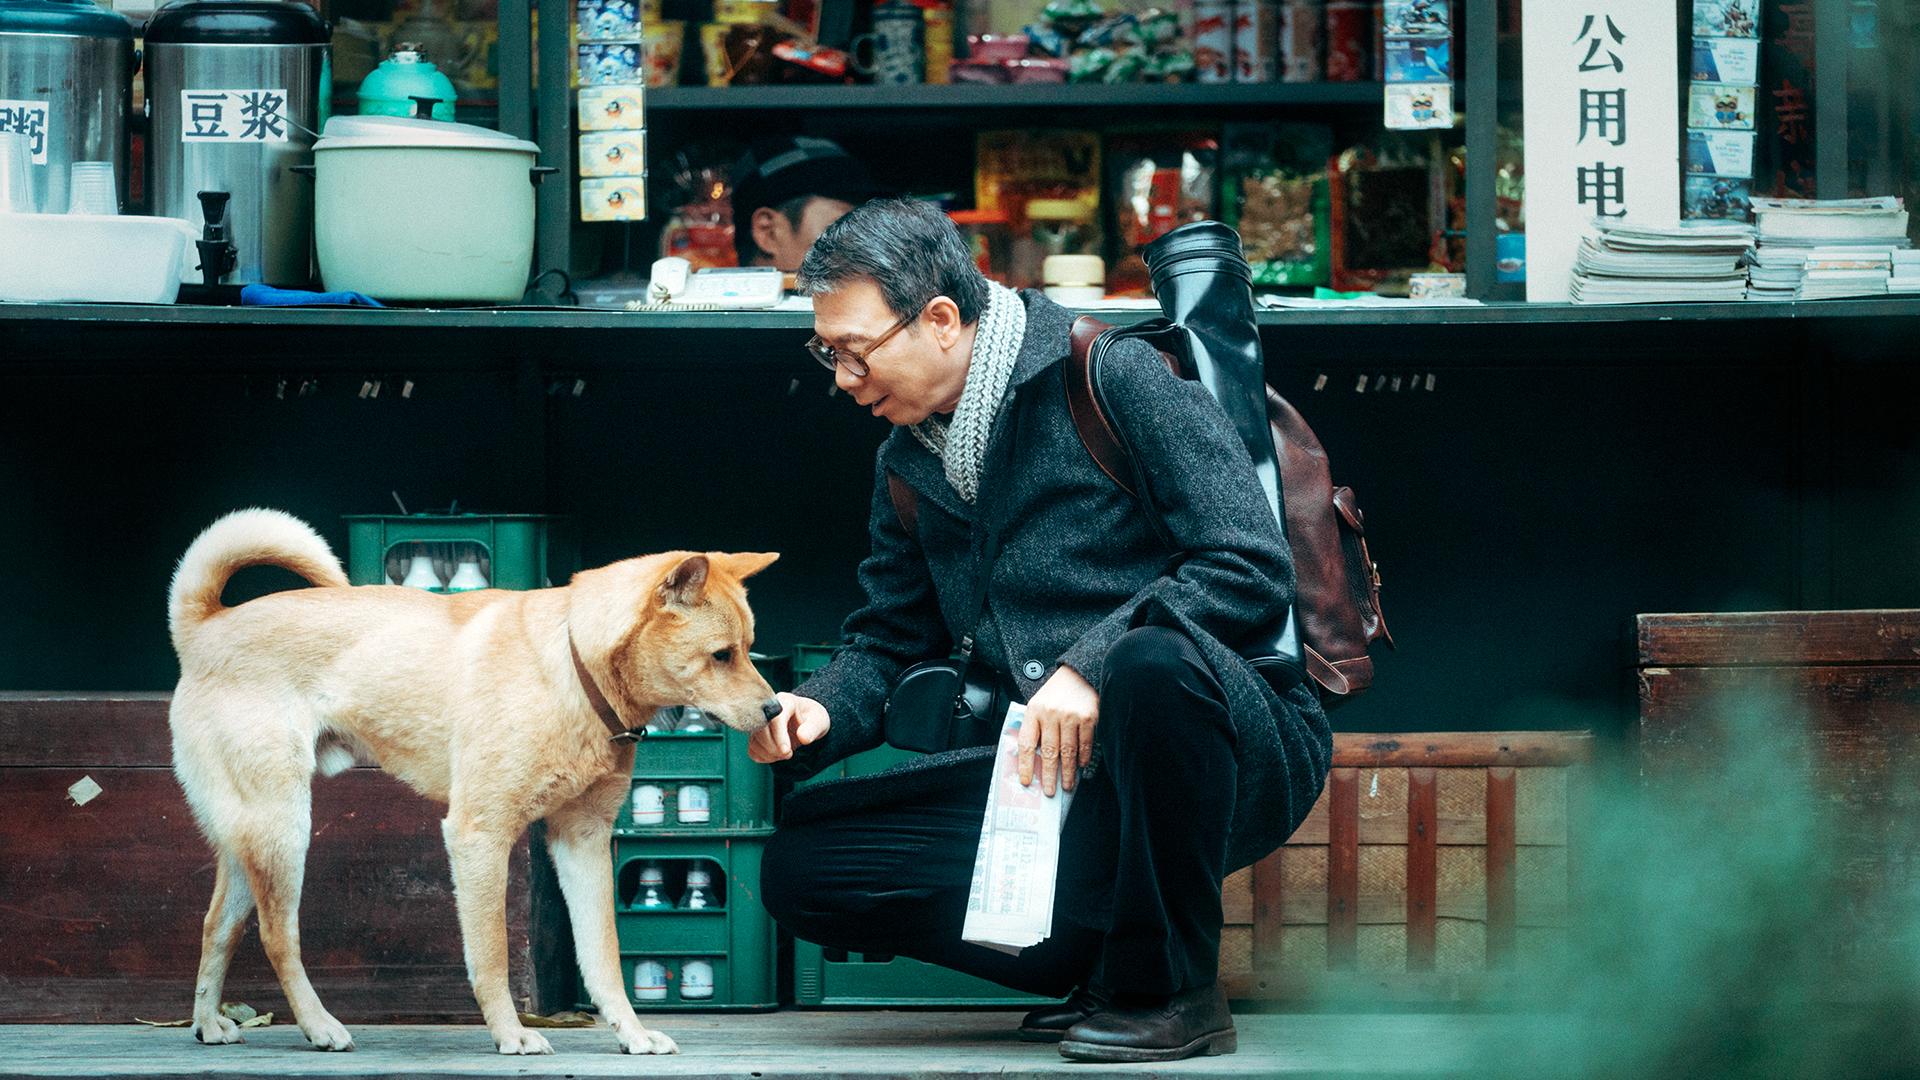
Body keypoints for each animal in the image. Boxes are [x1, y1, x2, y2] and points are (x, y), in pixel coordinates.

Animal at [167, 507, 779, 1053]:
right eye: (721, 655)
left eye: (749, 649)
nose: (776, 709)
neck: (570, 666)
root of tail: (204, 625)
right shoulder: (479, 835)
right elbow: (490, 956)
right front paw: (511, 1034)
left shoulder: (582, 840)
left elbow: (603, 956)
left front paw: (631, 1034)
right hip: (284, 830)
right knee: (277, 938)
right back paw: (320, 1027)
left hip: (251, 837)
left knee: (216, 925)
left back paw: (208, 1024)